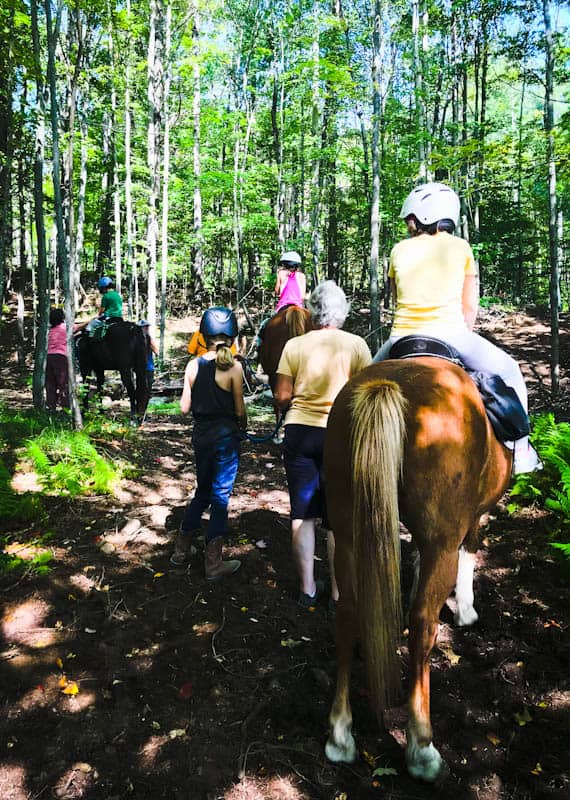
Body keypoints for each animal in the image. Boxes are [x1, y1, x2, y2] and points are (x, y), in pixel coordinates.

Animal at [320, 358, 510, 780]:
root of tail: (390, 385)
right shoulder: (470, 521)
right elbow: (470, 550)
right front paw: (467, 611)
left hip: (348, 531)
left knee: (347, 612)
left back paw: (340, 734)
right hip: (442, 539)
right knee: (423, 621)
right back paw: (421, 747)